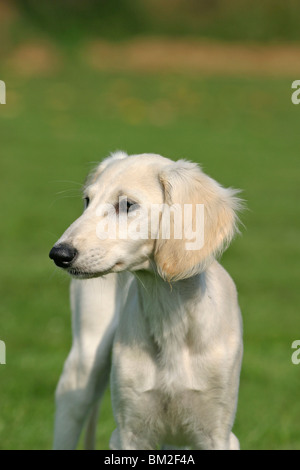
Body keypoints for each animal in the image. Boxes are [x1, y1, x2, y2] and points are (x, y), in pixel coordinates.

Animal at [50, 152, 244, 450]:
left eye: (127, 205)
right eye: (87, 201)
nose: (59, 254)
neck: (170, 320)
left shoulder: (218, 434)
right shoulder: (129, 433)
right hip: (83, 365)